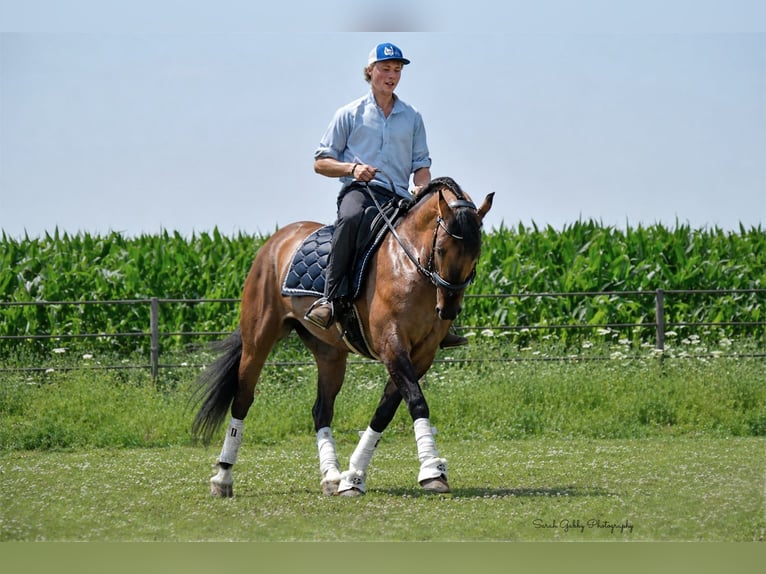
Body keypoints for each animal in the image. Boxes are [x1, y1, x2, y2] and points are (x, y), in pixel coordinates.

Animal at [191, 176, 494, 497]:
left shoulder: (422, 354)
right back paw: (223, 477)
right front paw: (432, 470)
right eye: (441, 250)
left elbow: (385, 411)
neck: (409, 266)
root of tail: (277, 241)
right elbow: (416, 401)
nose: (448, 308)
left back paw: (331, 476)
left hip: (330, 354)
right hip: (258, 340)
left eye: (476, 254)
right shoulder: (392, 345)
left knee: (321, 410)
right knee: (242, 399)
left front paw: (354, 476)